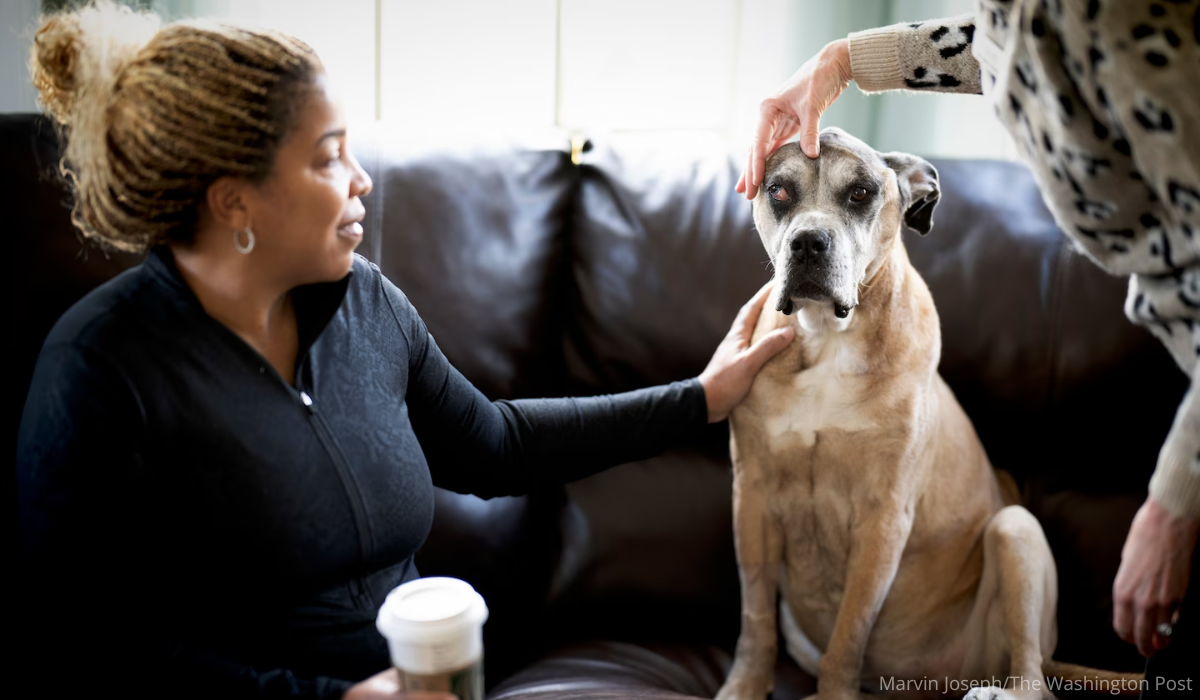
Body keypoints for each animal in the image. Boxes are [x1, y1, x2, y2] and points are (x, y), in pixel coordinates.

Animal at [715, 130, 1137, 700]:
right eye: (778, 191)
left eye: (862, 193)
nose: (808, 243)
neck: (828, 338)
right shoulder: (753, 499)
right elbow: (755, 616)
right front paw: (744, 684)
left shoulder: (883, 519)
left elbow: (849, 632)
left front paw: (833, 690)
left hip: (1016, 529)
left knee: (1033, 677)